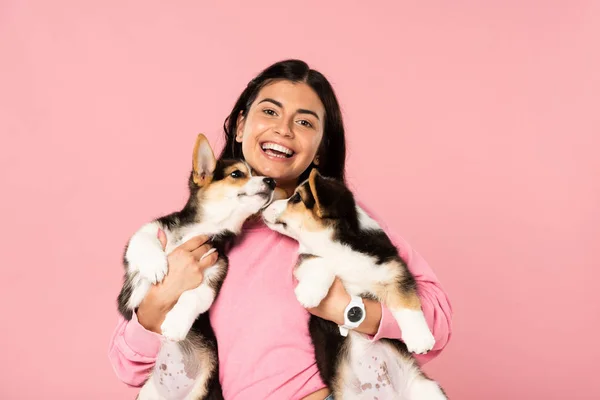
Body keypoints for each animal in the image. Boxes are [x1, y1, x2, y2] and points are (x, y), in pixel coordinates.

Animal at [117, 134, 278, 400]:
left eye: (257, 173)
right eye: (237, 174)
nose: (272, 181)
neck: (204, 228)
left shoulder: (212, 275)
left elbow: (192, 297)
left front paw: (175, 324)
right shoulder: (148, 232)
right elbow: (144, 243)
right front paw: (154, 267)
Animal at [262, 168, 446, 400]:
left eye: (296, 198)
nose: (264, 206)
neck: (334, 242)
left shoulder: (395, 271)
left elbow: (407, 303)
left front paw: (421, 339)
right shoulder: (305, 257)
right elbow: (320, 261)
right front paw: (309, 294)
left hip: (428, 389)